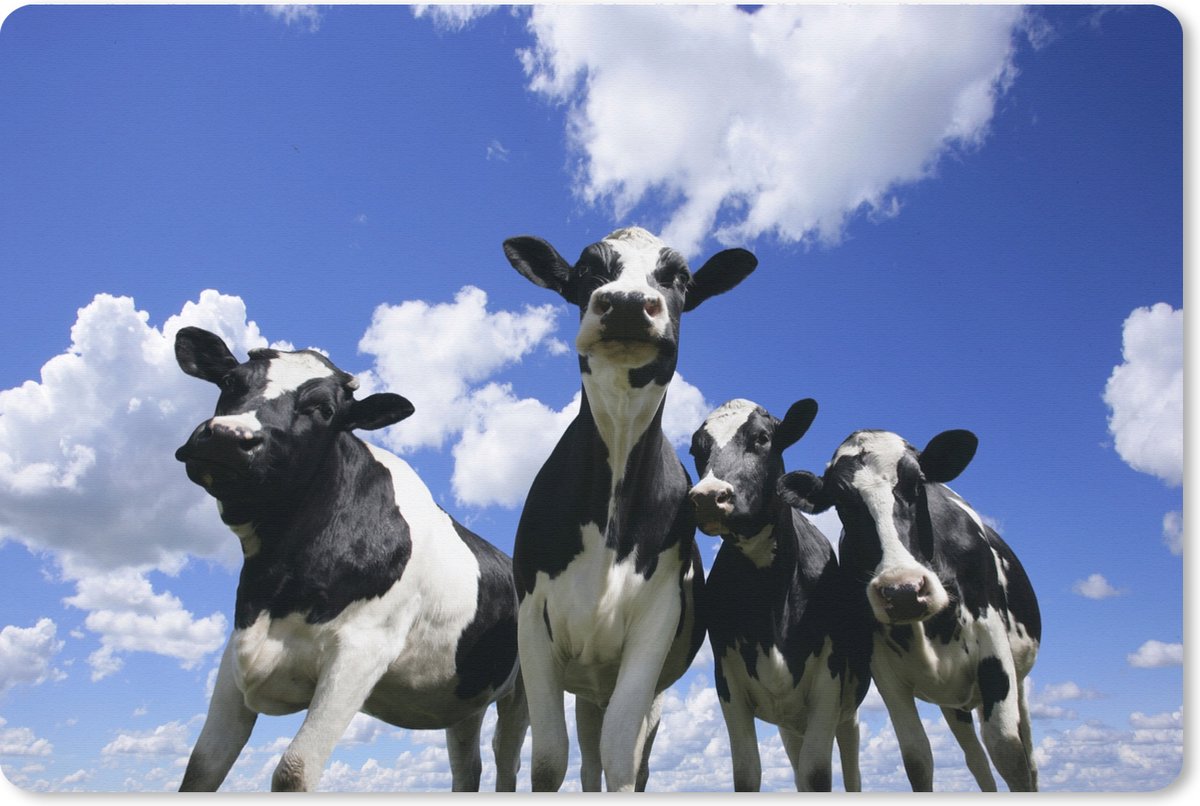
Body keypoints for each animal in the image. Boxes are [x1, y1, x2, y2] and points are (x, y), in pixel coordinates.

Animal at [172, 326, 528, 792]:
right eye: (231, 381)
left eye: (324, 410)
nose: (230, 438)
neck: (277, 578)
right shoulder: (236, 652)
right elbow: (202, 767)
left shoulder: (362, 650)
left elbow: (294, 769)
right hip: (464, 696)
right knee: (468, 767)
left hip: (524, 687)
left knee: (509, 757)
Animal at [501, 226, 757, 791]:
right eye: (587, 271)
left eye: (678, 276)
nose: (623, 303)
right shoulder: (532, 621)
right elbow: (549, 759)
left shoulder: (654, 626)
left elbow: (621, 756)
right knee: (574, 756)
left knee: (623, 756)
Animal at [687, 398, 870, 792]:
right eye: (696, 449)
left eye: (762, 438)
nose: (707, 497)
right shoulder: (727, 682)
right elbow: (747, 773)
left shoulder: (829, 682)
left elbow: (817, 775)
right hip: (790, 723)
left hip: (847, 713)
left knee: (850, 769)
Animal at [778, 429, 1041, 791]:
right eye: (842, 502)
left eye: (917, 483)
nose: (902, 590)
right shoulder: (885, 669)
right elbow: (917, 758)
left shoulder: (993, 647)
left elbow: (1009, 751)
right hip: (953, 700)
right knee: (976, 761)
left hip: (1018, 682)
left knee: (1026, 757)